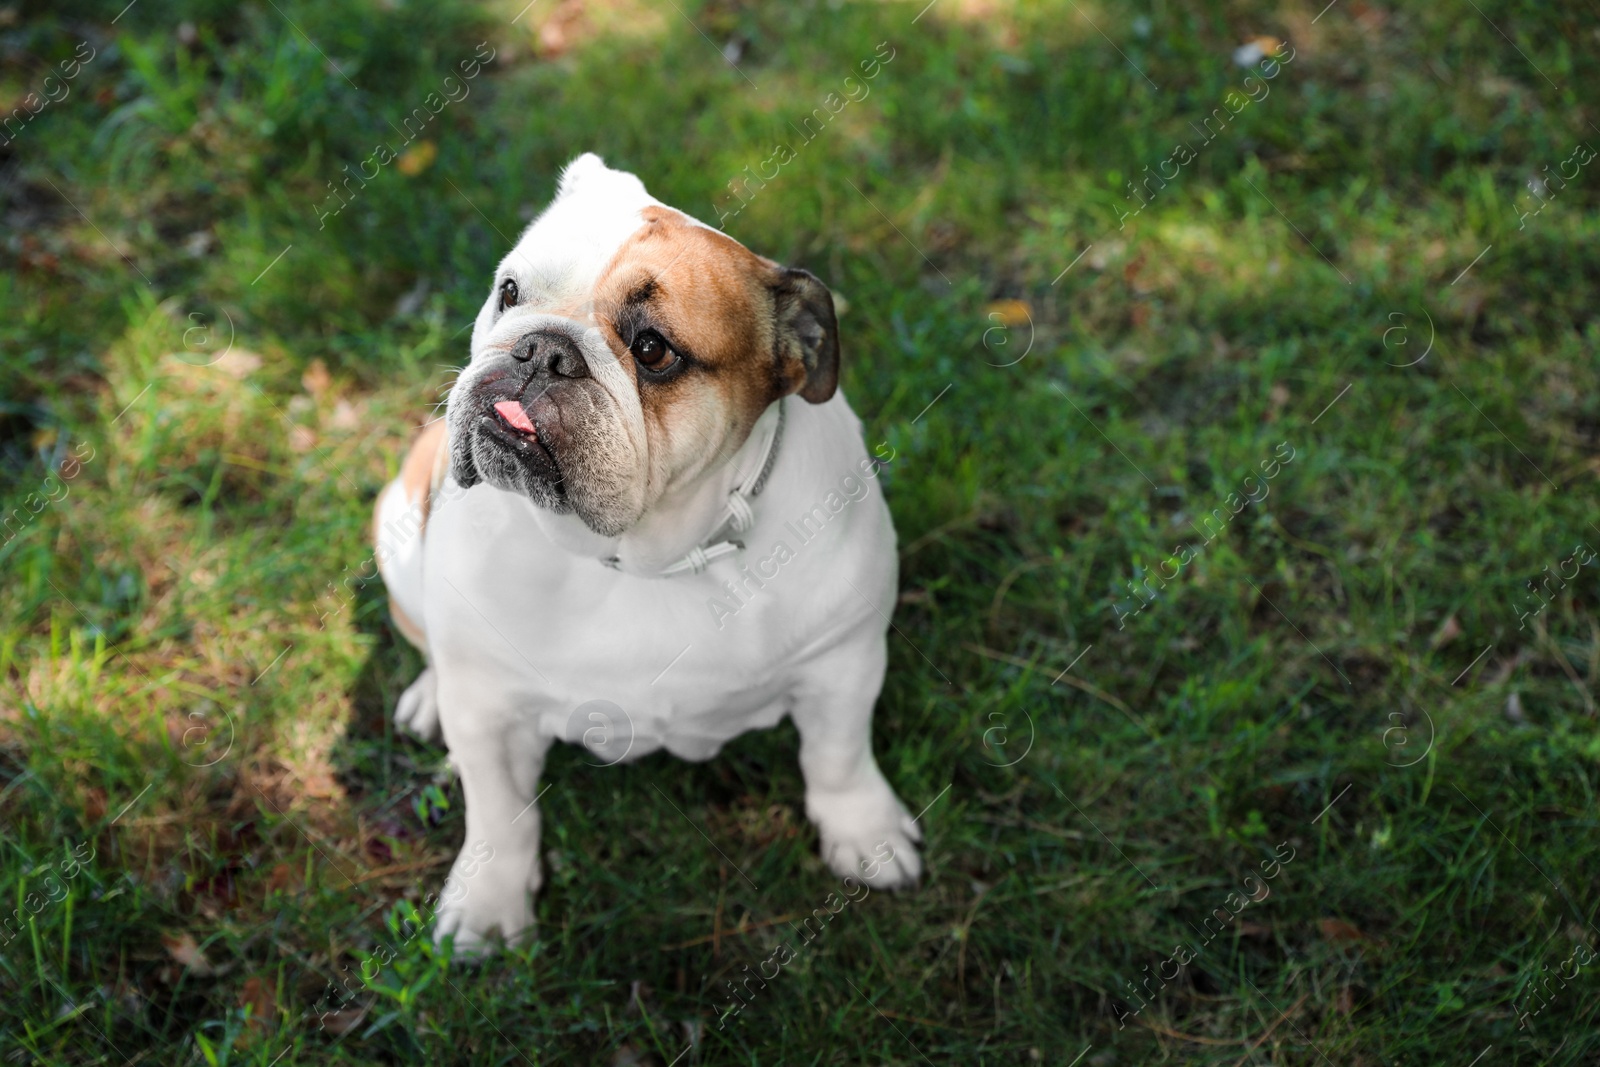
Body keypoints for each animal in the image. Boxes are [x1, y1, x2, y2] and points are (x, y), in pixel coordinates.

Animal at [374, 151, 921, 953]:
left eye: (654, 350)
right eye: (510, 293)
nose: (543, 349)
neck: (643, 554)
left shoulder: (843, 665)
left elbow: (839, 756)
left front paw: (866, 831)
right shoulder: (490, 712)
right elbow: (499, 813)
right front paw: (488, 904)